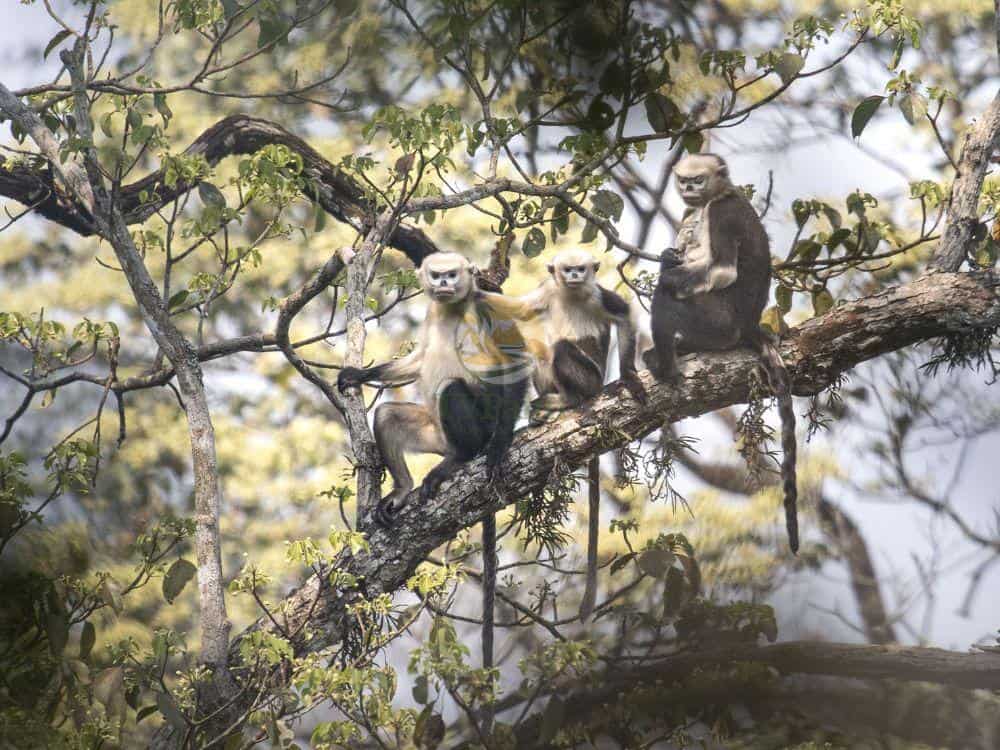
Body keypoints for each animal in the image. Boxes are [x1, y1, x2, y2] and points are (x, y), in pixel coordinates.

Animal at [337, 251, 530, 677]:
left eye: (452, 275)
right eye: (438, 275)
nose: (444, 285)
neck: (450, 310)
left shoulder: (486, 307)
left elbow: (515, 362)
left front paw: (501, 447)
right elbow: (419, 359)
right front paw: (360, 373)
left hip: (478, 421)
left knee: (453, 390)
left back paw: (465, 457)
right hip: (434, 432)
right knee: (388, 415)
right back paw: (403, 491)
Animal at [487, 248, 646, 618]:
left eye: (581, 270)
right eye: (567, 270)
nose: (574, 276)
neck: (572, 295)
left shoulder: (598, 294)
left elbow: (624, 314)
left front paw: (630, 375)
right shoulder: (547, 291)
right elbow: (521, 310)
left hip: (590, 379)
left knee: (559, 349)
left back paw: (569, 400)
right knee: (537, 348)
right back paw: (549, 407)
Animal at [644, 153, 799, 553]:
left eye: (697, 180)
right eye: (684, 181)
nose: (688, 189)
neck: (716, 197)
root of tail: (747, 325)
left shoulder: (722, 213)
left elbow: (723, 271)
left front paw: (667, 270)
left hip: (716, 322)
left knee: (668, 296)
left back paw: (666, 363)